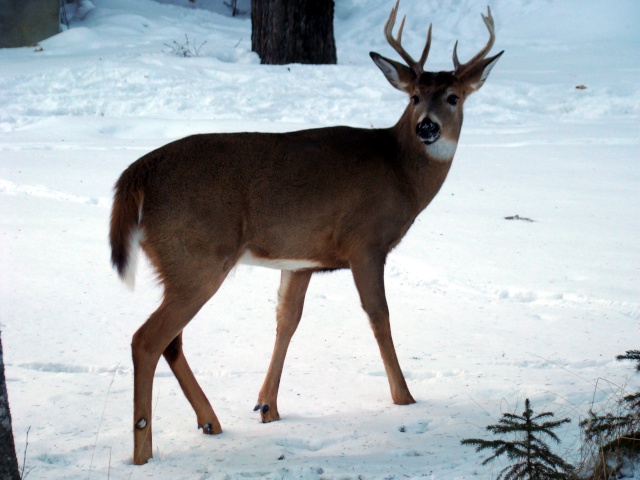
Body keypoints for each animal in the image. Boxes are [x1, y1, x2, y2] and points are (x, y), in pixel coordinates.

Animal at [109, 0, 500, 464]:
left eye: (454, 97)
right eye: (414, 96)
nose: (426, 126)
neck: (399, 172)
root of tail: (137, 174)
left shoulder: (301, 260)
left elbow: (287, 320)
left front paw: (267, 406)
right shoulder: (365, 242)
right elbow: (379, 315)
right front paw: (404, 397)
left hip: (177, 261)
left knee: (170, 341)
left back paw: (210, 421)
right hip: (196, 257)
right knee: (146, 339)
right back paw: (143, 452)